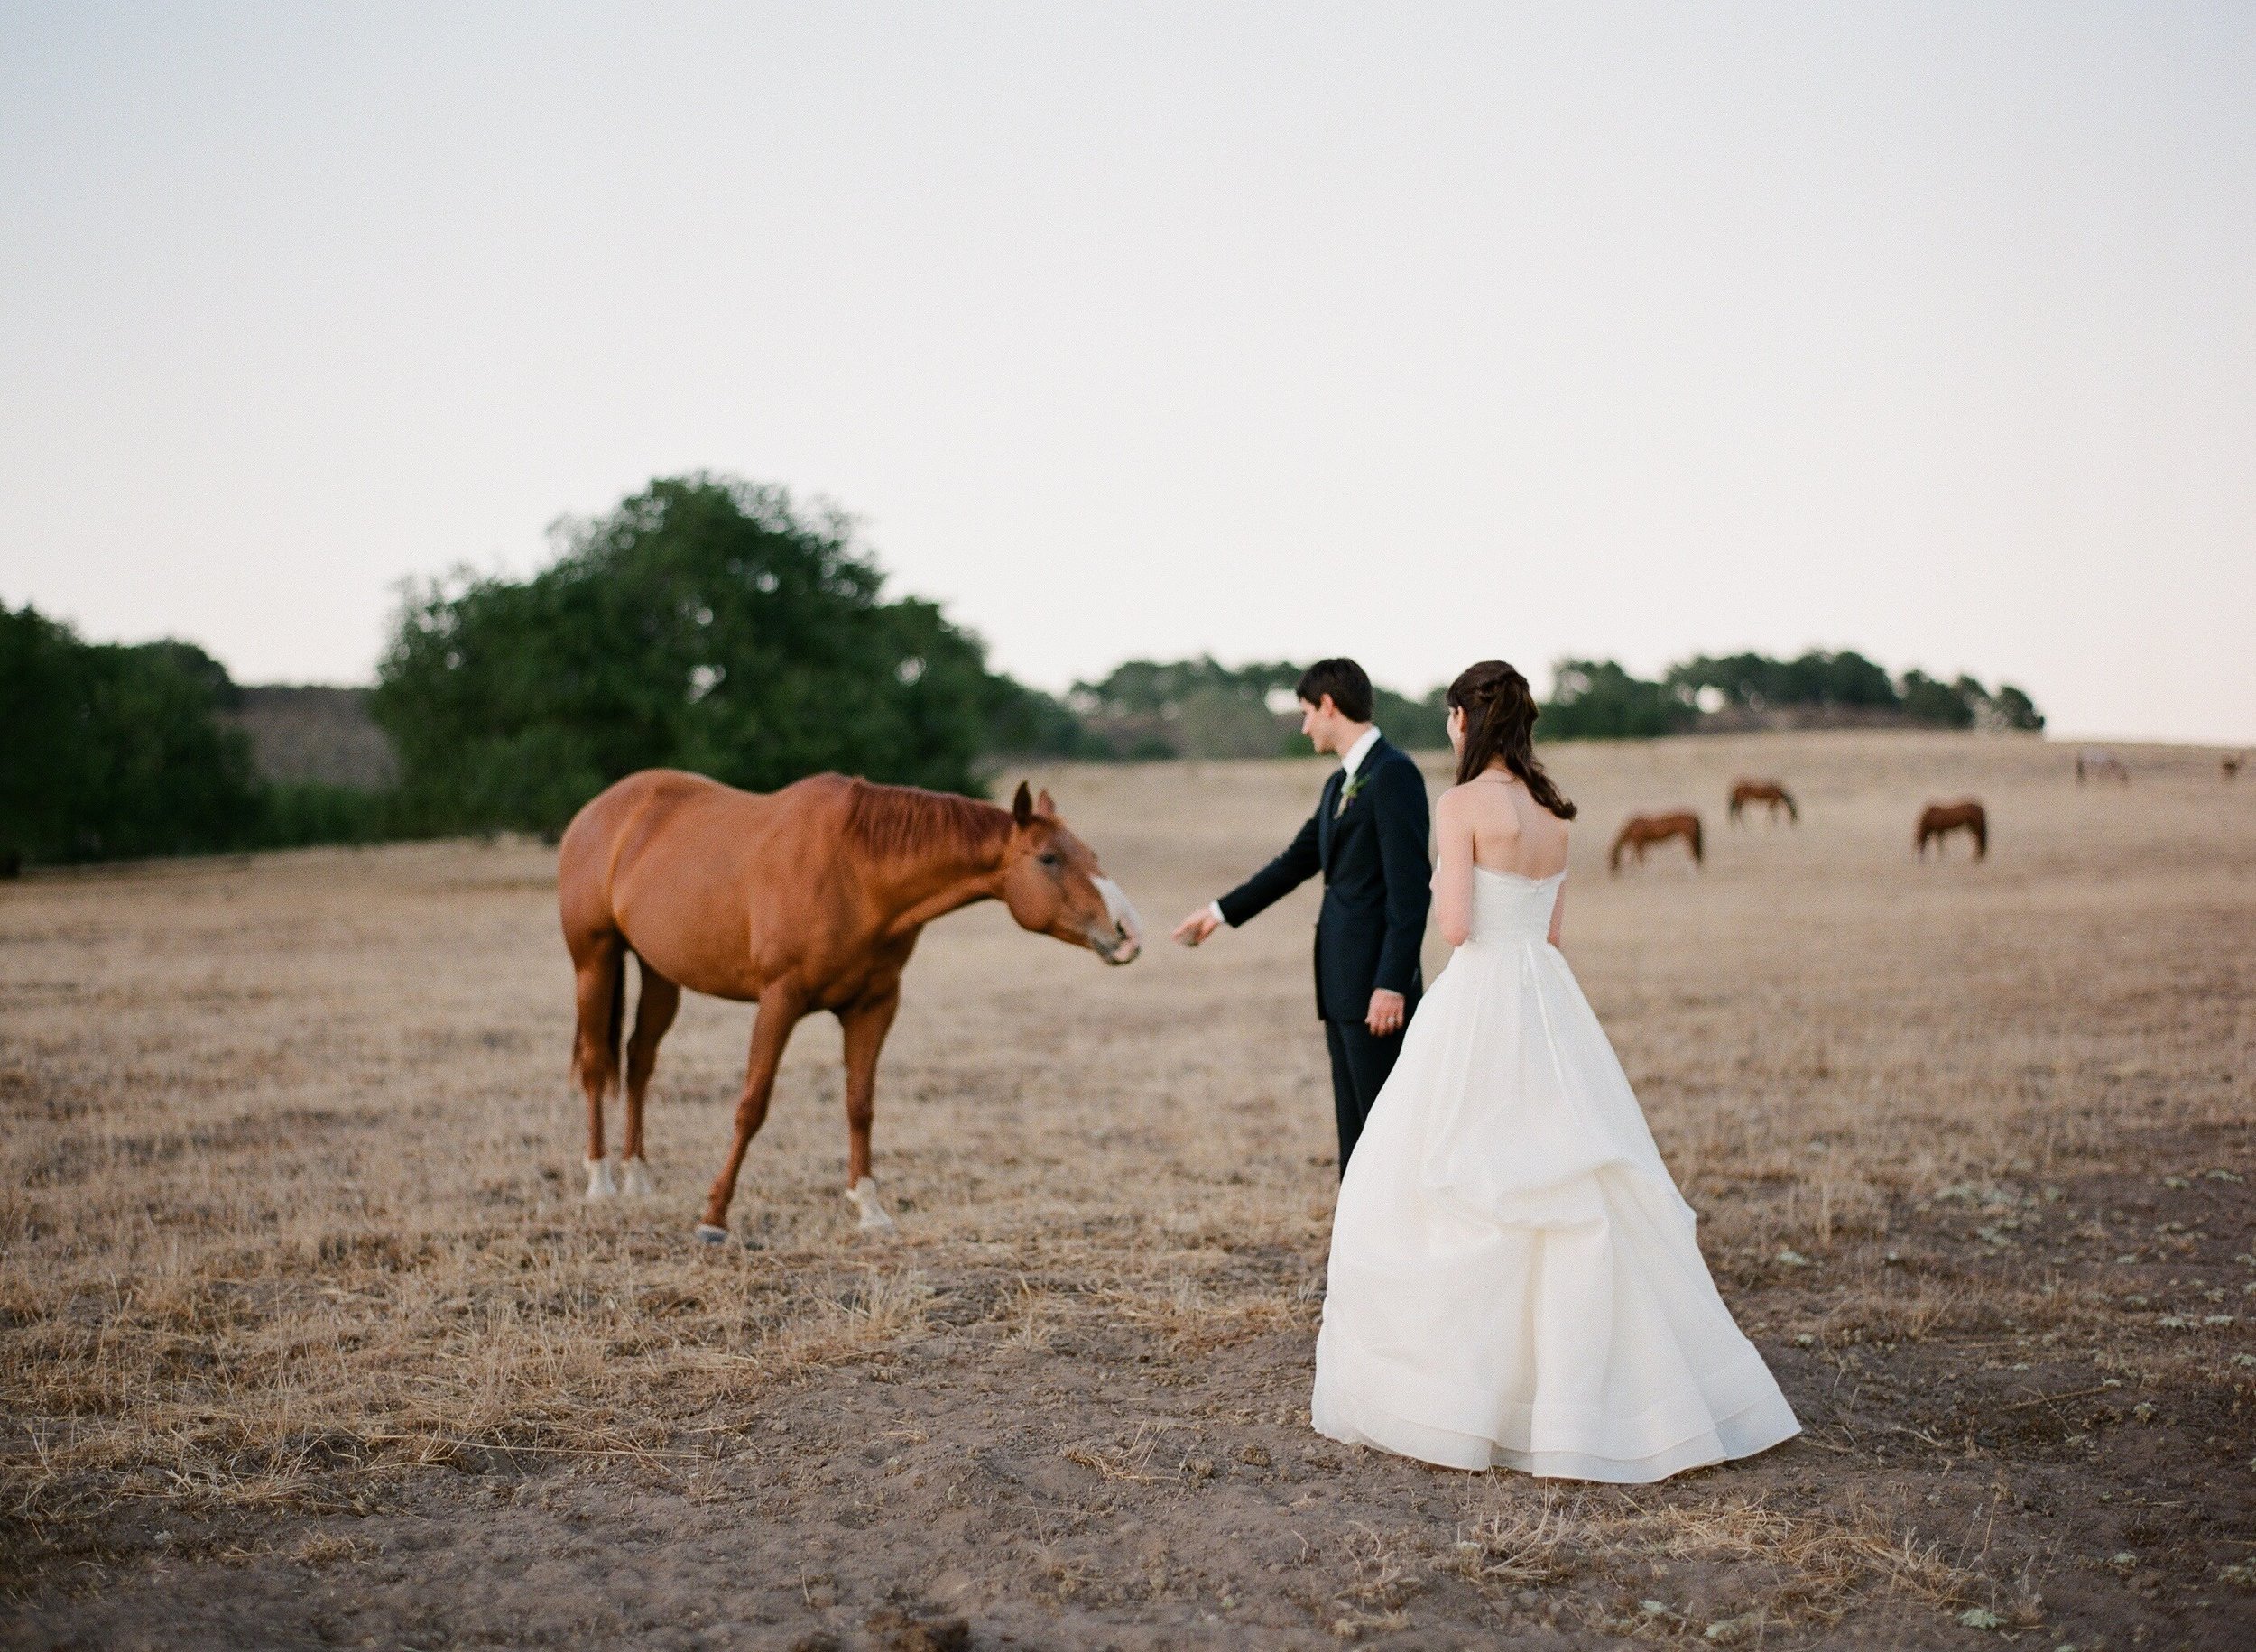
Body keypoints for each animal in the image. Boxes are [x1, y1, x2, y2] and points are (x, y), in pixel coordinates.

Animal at [555, 776, 1137, 1236]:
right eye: (1049, 858)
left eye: (1092, 855)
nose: (1128, 933)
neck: (857, 872)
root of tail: (601, 809)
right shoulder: (779, 999)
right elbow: (752, 1105)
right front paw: (714, 1217)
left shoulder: (874, 1006)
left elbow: (860, 1106)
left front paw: (870, 1210)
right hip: (595, 960)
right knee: (597, 1063)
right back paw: (601, 1180)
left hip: (659, 972)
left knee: (639, 1060)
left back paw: (636, 1175)